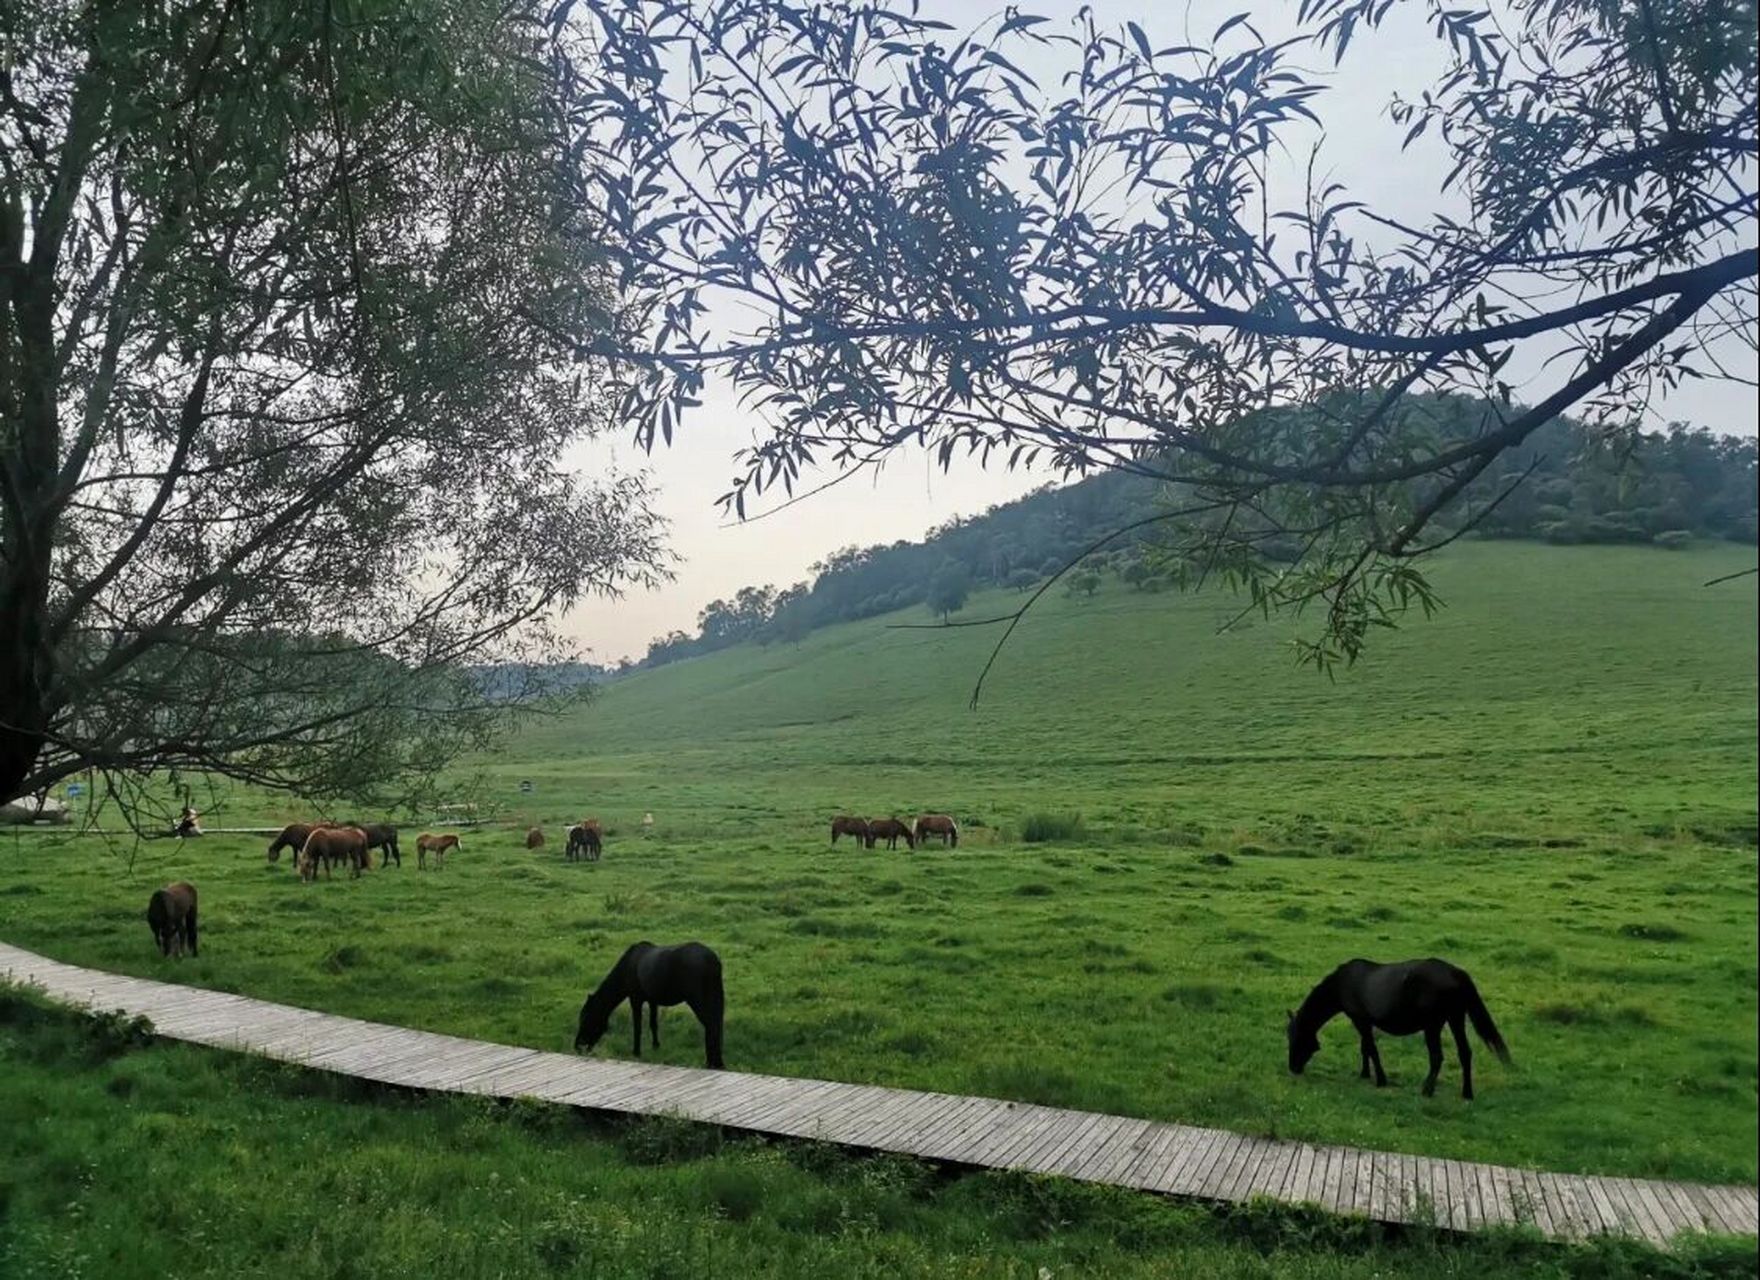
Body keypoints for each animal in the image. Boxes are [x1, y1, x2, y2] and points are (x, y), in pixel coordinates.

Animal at [570, 943, 721, 1070]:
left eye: (586, 1019)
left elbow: (638, 1027)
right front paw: (656, 1047)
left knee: (711, 1026)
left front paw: (636, 1052)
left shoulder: (635, 999)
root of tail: (711, 959)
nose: (578, 1046)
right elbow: (653, 1024)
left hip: (699, 1001)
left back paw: (712, 1063)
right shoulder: (652, 1000)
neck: (628, 966)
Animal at [1281, 957, 1513, 1098]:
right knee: (1465, 1053)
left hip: (1433, 1026)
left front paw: (1381, 1080)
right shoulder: (1363, 1022)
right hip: (1455, 1018)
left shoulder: (1360, 1020)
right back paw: (1467, 1093)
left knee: (1437, 1057)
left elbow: (1371, 1049)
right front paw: (1364, 1074)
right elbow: (1365, 1048)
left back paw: (1427, 1090)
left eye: (1297, 1038)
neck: (1342, 983)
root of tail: (1456, 972)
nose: (1293, 1068)